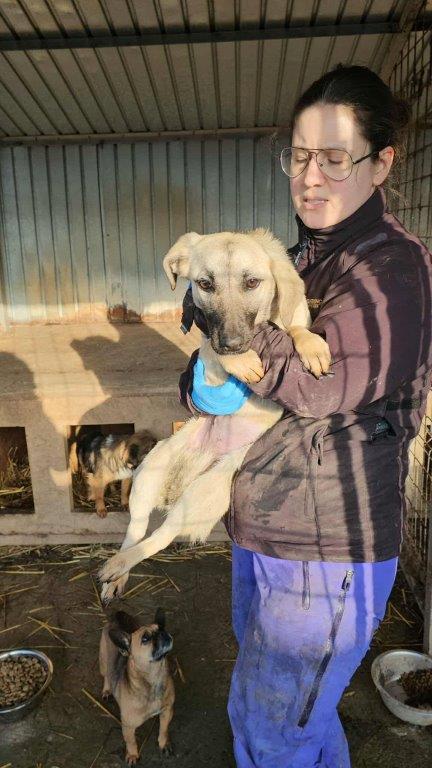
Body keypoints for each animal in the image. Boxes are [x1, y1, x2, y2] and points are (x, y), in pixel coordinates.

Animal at [98, 228, 331, 600]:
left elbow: (296, 329)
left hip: (206, 490)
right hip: (152, 474)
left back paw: (117, 572)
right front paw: (241, 361)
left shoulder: (290, 318)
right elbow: (211, 347)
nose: (234, 343)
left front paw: (311, 345)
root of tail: (181, 483)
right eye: (205, 284)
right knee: (142, 531)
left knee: (157, 532)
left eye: (252, 282)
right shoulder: (208, 344)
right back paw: (116, 569)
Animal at [99, 608, 174, 765]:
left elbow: (164, 729)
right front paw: (133, 755)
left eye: (162, 628)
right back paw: (107, 690)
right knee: (107, 675)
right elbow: (131, 742)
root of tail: (116, 616)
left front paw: (164, 743)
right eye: (145, 639)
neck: (154, 676)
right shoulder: (128, 726)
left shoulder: (167, 711)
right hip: (103, 662)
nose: (162, 633)